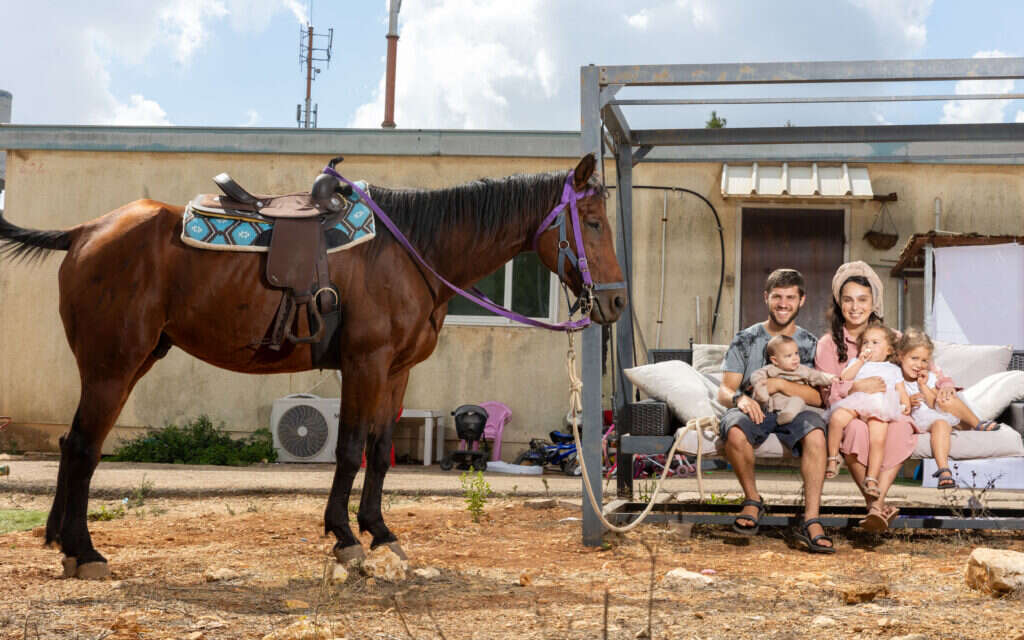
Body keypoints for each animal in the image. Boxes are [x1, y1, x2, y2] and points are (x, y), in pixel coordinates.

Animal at [0, 153, 622, 573]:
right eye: (592, 223)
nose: (615, 303)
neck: (409, 250)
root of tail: (83, 232)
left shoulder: (397, 371)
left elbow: (379, 451)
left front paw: (380, 532)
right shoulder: (365, 364)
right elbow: (348, 450)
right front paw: (346, 540)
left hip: (125, 363)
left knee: (73, 445)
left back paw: (60, 542)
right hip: (112, 364)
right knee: (85, 447)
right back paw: (85, 551)